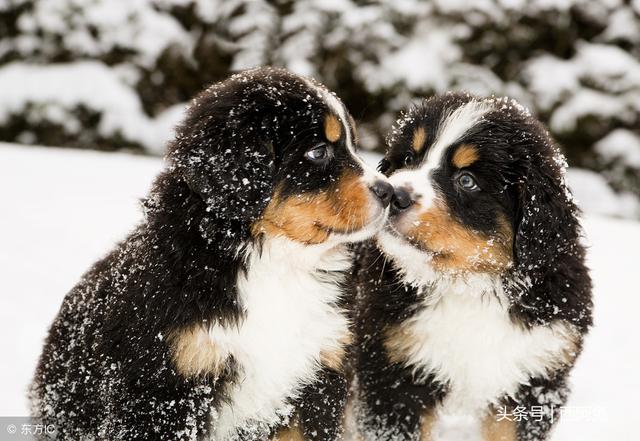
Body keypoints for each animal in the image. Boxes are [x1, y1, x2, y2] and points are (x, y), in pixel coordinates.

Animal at [31, 66, 396, 440]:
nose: (389, 192)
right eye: (318, 152)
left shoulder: (319, 377)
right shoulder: (167, 387)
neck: (276, 264)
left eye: (352, 144)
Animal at [352, 93, 592, 440]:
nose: (394, 194)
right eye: (409, 157)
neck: (469, 286)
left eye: (467, 181)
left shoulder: (535, 377)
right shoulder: (393, 373)